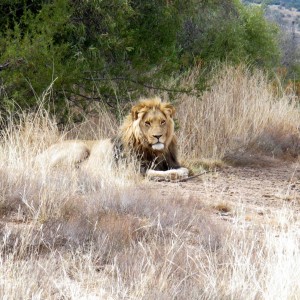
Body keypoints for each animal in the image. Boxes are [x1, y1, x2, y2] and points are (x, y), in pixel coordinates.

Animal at [37, 96, 188, 180]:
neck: (154, 151)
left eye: (162, 122)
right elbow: (156, 173)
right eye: (147, 123)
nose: (158, 136)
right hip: (79, 148)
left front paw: (181, 171)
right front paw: (176, 174)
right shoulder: (129, 169)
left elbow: (181, 168)